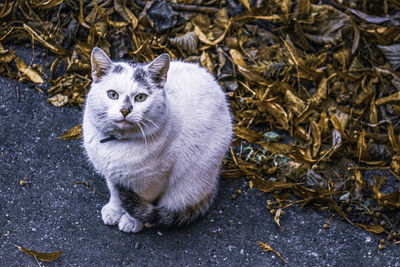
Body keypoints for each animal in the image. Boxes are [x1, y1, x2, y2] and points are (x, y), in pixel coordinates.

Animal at [83, 48, 233, 234]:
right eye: (112, 94)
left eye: (140, 97)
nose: (125, 110)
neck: (119, 142)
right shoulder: (112, 175)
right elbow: (115, 194)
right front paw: (114, 211)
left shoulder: (154, 181)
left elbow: (138, 202)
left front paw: (131, 221)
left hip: (189, 184)